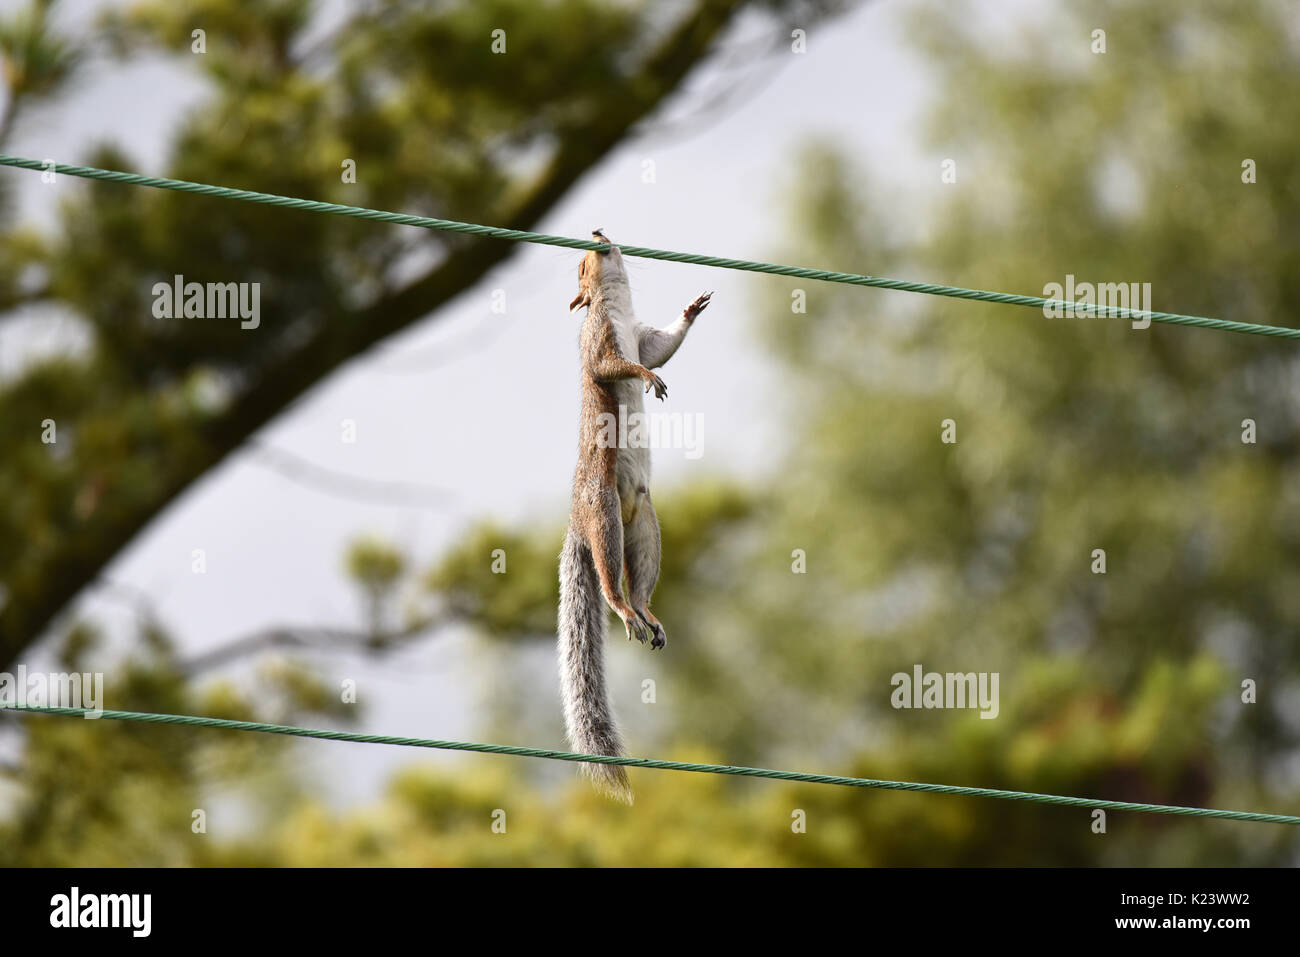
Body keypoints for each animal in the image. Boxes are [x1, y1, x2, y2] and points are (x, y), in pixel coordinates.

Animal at [557, 229, 712, 803]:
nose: (597, 232)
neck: (619, 307)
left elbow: (663, 346)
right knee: (609, 578)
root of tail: (578, 524)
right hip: (603, 513)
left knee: (638, 579)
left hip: (644, 526)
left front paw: (691, 309)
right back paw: (622, 608)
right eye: (581, 267)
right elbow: (615, 366)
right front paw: (646, 378)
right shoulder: (600, 340)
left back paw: (646, 612)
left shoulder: (642, 335)